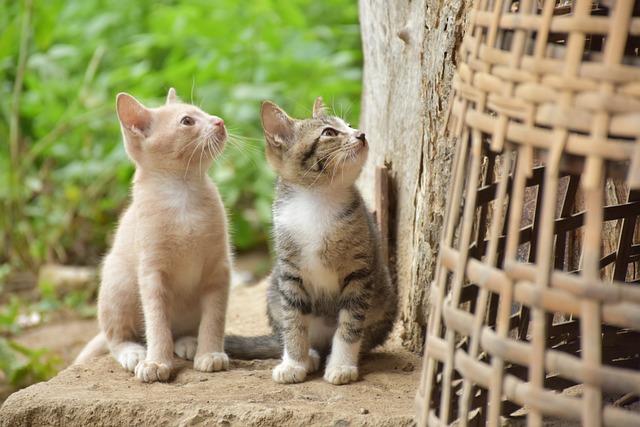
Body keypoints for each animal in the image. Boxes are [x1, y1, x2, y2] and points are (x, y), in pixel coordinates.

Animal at [74, 88, 232, 382]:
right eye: (187, 121)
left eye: (203, 113)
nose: (219, 121)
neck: (183, 196)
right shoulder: (151, 272)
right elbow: (157, 321)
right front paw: (157, 362)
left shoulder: (219, 268)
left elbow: (214, 317)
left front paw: (210, 353)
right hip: (119, 280)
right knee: (115, 337)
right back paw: (133, 352)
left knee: (181, 329)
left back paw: (188, 342)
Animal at [226, 98, 396, 386]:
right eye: (329, 133)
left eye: (349, 125)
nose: (361, 134)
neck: (318, 200)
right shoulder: (289, 273)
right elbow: (293, 322)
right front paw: (294, 362)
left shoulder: (360, 272)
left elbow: (350, 324)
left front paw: (341, 365)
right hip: (273, 291)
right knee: (287, 328)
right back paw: (309, 356)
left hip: (384, 298)